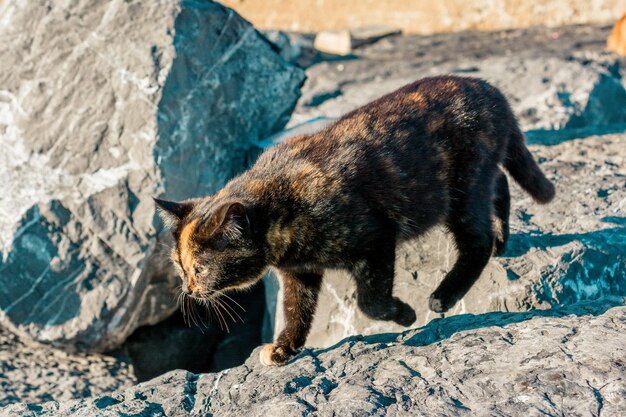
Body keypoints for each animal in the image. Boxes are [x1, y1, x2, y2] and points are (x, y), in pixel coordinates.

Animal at [155, 75, 552, 364]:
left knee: (476, 238)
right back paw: (502, 240)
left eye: (201, 268)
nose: (189, 289)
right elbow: (296, 311)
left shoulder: (376, 241)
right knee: (501, 185)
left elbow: (369, 302)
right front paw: (285, 348)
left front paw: (404, 315)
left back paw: (444, 295)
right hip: (476, 182)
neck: (280, 203)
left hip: (462, 192)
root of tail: (491, 90)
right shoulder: (299, 273)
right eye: (180, 267)